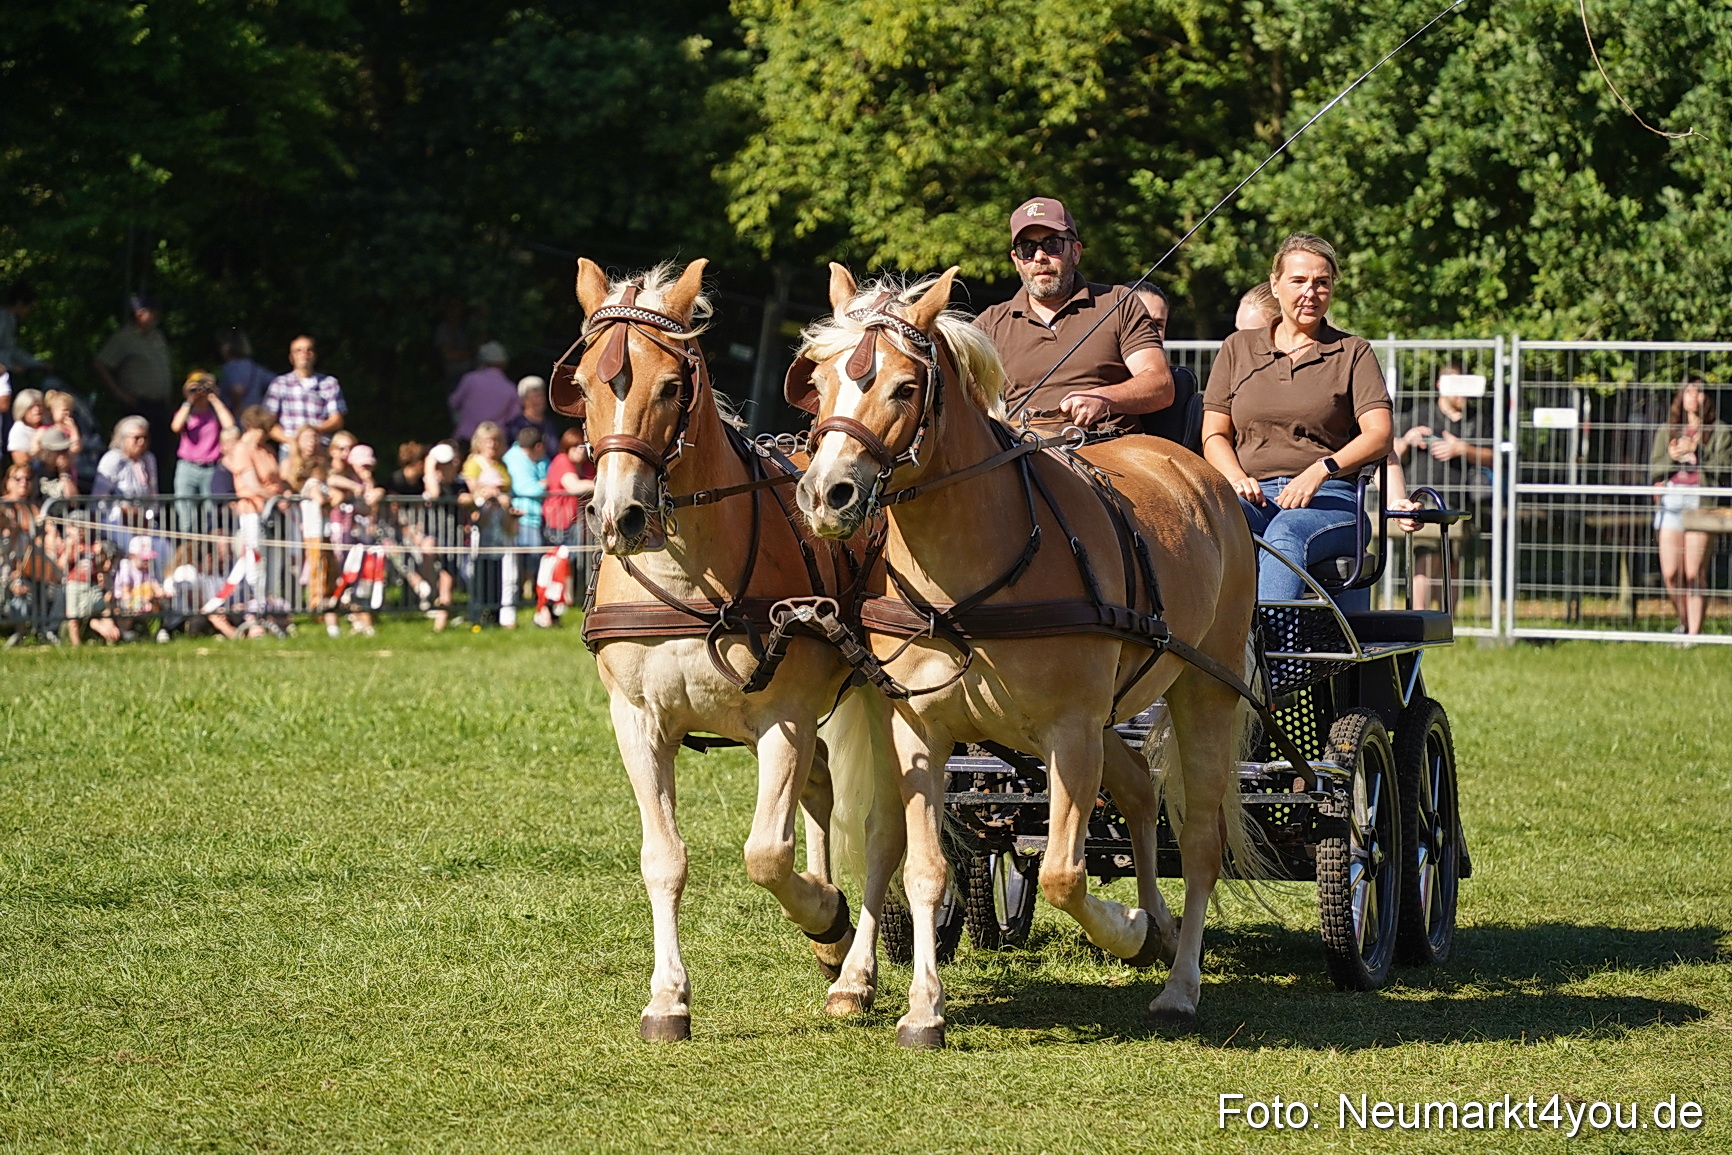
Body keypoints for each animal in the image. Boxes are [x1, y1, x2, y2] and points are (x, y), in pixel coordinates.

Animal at [555, 257, 901, 1041]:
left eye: (670, 386)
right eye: (583, 385)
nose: (620, 515)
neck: (688, 571)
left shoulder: (784, 719)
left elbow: (765, 854)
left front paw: (826, 916)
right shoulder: (636, 721)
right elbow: (663, 858)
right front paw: (667, 997)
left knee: (878, 828)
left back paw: (853, 968)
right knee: (823, 784)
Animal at [788, 264, 1263, 1046]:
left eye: (904, 387)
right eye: (820, 379)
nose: (828, 494)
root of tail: (1196, 470)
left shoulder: (1070, 731)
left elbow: (1066, 872)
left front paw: (1128, 928)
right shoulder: (920, 728)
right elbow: (923, 866)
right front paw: (922, 1008)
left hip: (1203, 691)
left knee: (1198, 838)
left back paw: (1178, 979)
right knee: (1137, 789)